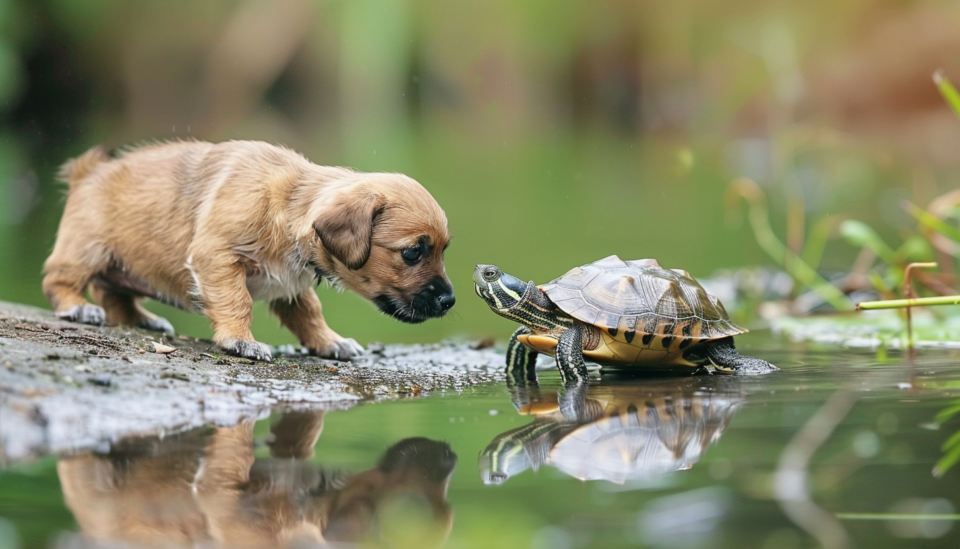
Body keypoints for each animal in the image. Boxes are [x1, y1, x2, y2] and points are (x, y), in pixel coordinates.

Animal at [47, 140, 460, 360]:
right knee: (60, 282)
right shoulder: (218, 258)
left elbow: (310, 314)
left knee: (113, 294)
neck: (289, 206)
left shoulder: (292, 285)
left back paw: (142, 318)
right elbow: (237, 301)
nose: (449, 301)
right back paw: (78, 307)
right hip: (86, 250)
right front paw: (240, 340)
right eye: (412, 253)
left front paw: (330, 342)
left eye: (442, 250)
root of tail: (87, 172)